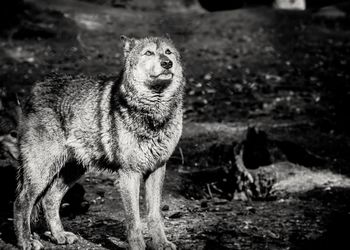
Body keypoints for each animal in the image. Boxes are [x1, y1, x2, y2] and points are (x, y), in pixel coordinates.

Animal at [13, 35, 185, 250]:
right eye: (149, 53)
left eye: (168, 52)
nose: (167, 63)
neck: (154, 113)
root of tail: (36, 87)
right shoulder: (129, 173)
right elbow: (134, 220)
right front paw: (138, 246)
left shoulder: (158, 168)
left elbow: (155, 215)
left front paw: (162, 243)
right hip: (41, 171)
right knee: (22, 202)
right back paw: (26, 242)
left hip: (73, 170)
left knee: (49, 199)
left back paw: (60, 236)